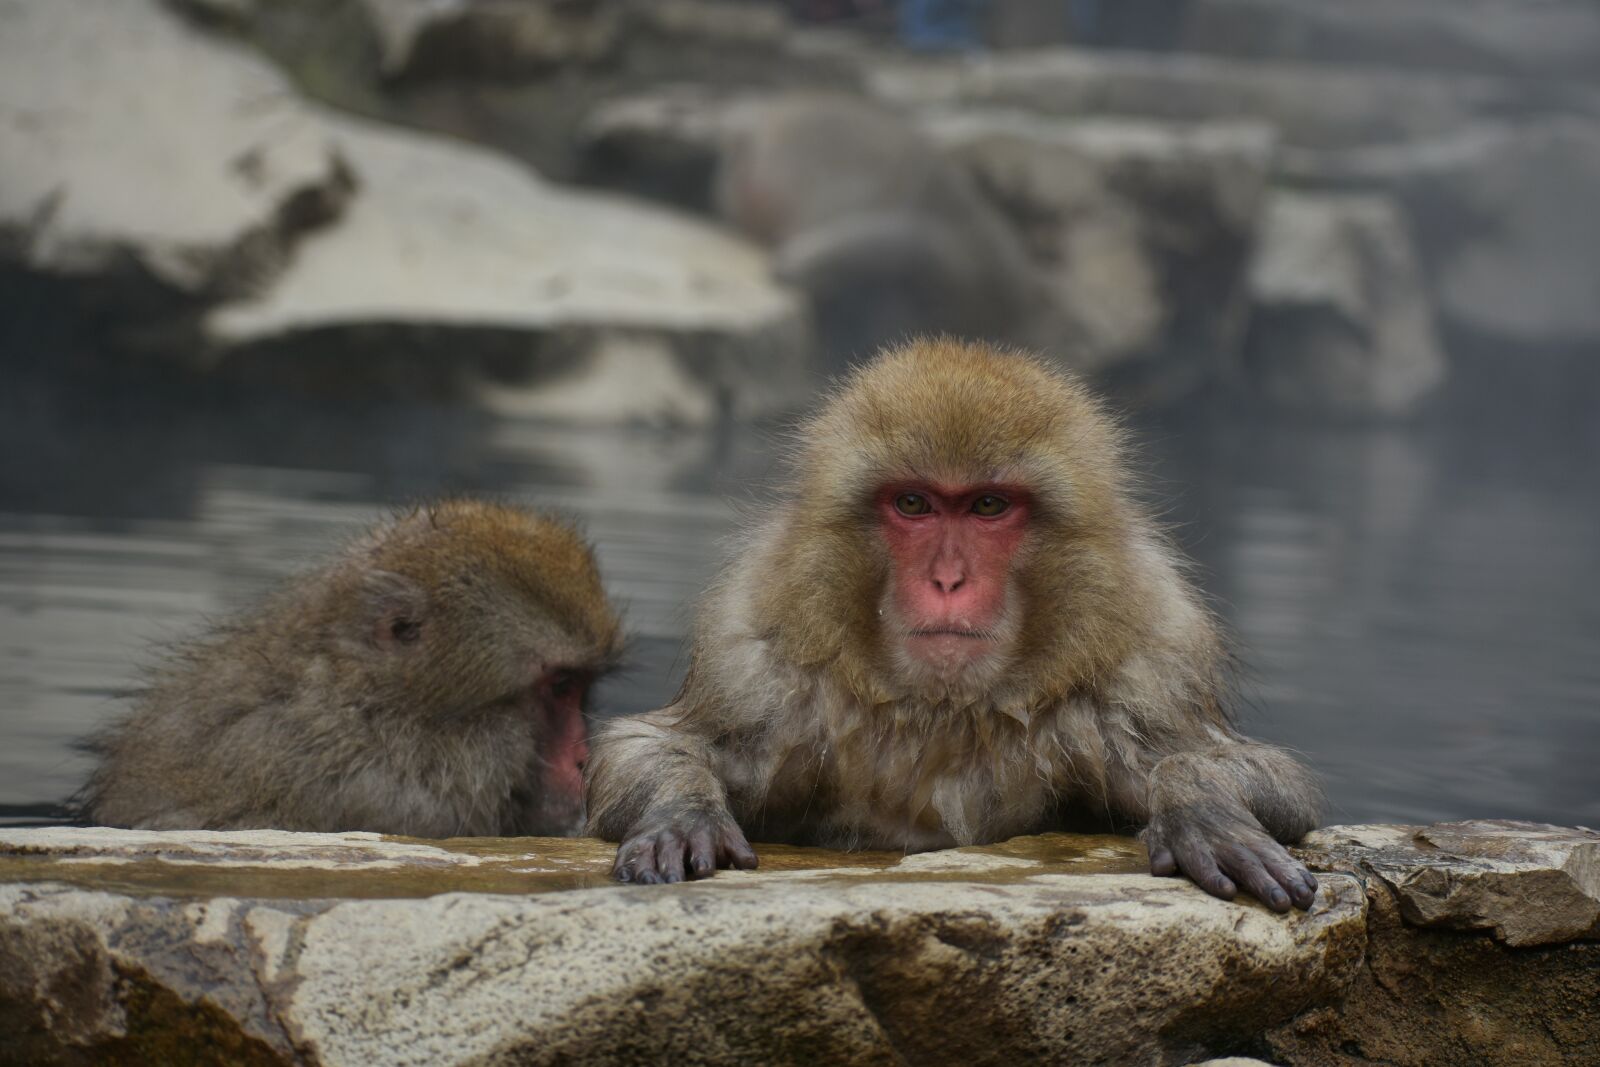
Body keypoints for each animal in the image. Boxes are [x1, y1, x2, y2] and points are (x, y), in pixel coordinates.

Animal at [588, 339, 1323, 911]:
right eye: (914, 503)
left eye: (988, 506)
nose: (948, 581)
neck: (946, 708)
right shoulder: (757, 667)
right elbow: (647, 746)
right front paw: (683, 810)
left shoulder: (1147, 674)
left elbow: (1270, 777)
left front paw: (1201, 803)